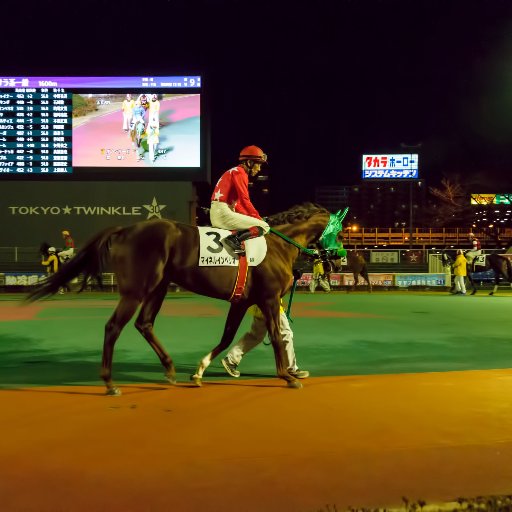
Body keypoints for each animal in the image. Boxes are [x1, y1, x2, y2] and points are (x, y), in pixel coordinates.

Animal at [25, 202, 340, 394]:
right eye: (338, 231)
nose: (337, 258)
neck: (277, 245)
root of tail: (126, 230)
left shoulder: (241, 301)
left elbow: (228, 337)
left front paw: (200, 372)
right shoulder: (270, 299)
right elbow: (275, 335)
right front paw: (287, 376)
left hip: (159, 287)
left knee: (144, 324)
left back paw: (169, 368)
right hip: (136, 290)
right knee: (114, 327)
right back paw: (110, 382)